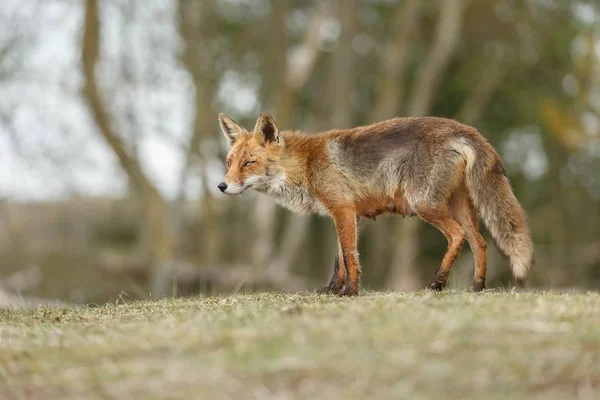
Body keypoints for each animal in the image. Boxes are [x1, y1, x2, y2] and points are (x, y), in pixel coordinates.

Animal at [217, 111, 536, 296]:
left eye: (249, 163)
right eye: (229, 163)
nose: (221, 186)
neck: (306, 165)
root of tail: (465, 129)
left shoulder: (342, 209)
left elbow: (350, 256)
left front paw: (350, 292)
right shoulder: (348, 213)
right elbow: (339, 259)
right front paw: (331, 290)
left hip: (423, 204)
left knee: (458, 236)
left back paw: (437, 283)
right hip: (457, 204)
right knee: (479, 242)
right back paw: (477, 287)